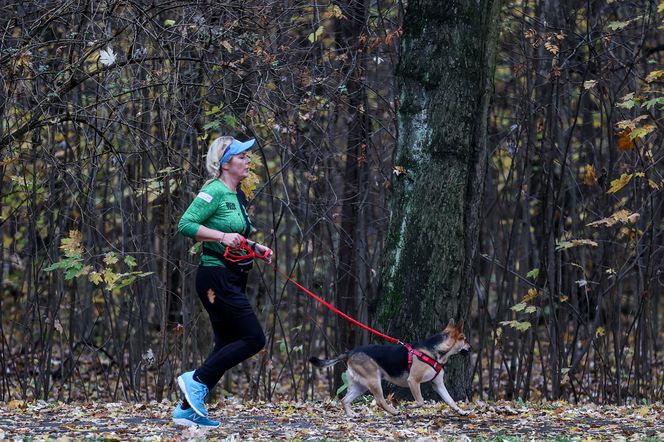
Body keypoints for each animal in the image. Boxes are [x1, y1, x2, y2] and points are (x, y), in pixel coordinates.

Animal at [312, 320, 472, 416]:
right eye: (464, 339)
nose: (470, 348)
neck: (436, 351)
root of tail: (350, 352)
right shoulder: (413, 381)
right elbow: (420, 401)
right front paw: (410, 408)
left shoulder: (438, 384)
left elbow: (450, 400)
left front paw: (460, 411)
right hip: (374, 380)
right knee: (379, 400)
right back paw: (393, 411)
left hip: (360, 385)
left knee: (345, 400)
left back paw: (351, 415)